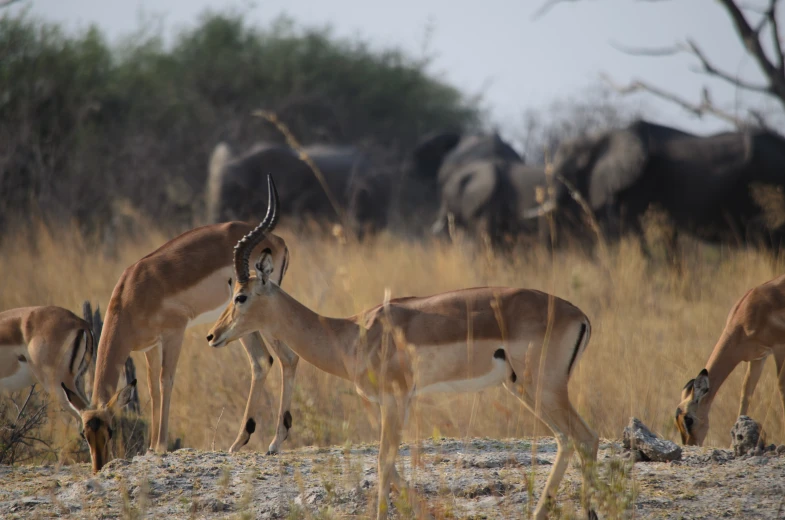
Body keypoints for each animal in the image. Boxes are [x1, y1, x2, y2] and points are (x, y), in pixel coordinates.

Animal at [60, 180, 300, 476]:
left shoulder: (174, 333)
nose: (98, 467)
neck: (132, 293)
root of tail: (279, 241)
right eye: (84, 433)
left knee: (287, 358)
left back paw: (274, 443)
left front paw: (161, 446)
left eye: (111, 430)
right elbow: (152, 387)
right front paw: (152, 447)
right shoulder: (149, 346)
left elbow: (167, 381)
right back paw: (238, 442)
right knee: (262, 361)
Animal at [205, 176, 596, 520]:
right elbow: (391, 465)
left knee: (585, 439)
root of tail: (579, 314)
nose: (212, 335)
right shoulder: (398, 403)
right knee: (568, 440)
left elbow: (383, 461)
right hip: (524, 388)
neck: (352, 332)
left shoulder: (394, 400)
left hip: (543, 388)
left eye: (241, 296)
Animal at [672, 272, 784, 446]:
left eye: (689, 420)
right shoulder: (758, 357)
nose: (691, 444)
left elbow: (781, 387)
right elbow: (746, 393)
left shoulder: (779, 349)